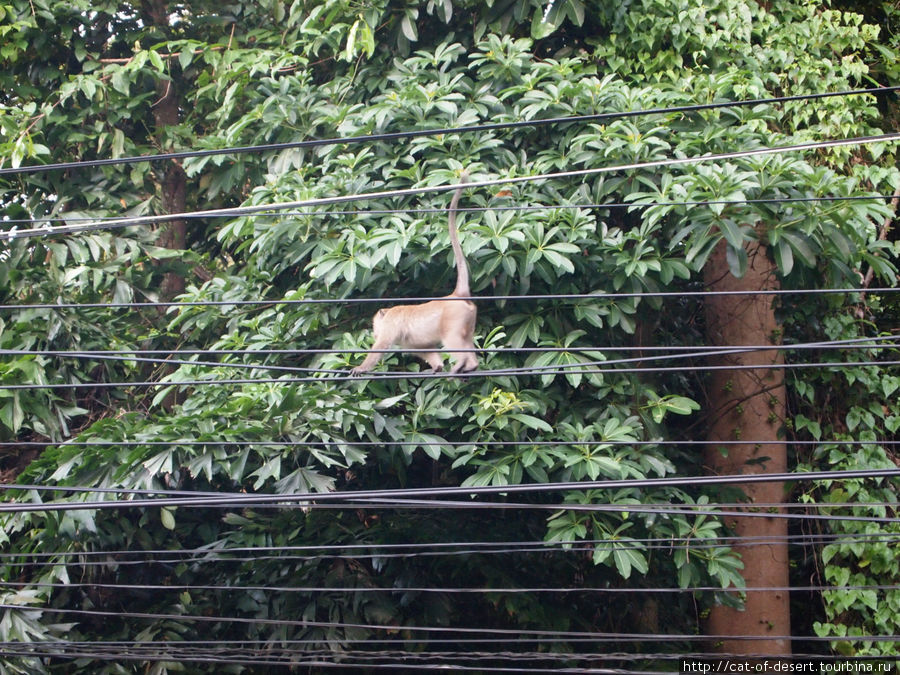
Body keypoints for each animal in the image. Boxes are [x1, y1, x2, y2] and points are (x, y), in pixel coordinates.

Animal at [350, 174, 478, 374]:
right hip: (469, 319)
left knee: (452, 337)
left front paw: (361, 368)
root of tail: (457, 294)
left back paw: (464, 363)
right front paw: (437, 366)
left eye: (375, 325)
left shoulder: (391, 323)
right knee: (465, 339)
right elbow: (424, 348)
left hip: (454, 318)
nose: (375, 332)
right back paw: (471, 365)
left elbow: (382, 345)